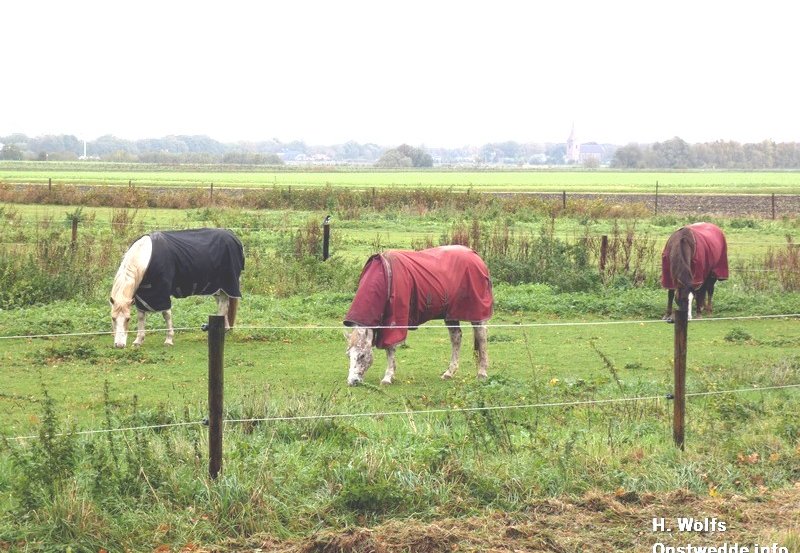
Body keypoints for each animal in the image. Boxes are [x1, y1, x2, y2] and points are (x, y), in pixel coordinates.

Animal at [110, 228, 245, 348]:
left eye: (128, 319)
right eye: (113, 318)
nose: (119, 345)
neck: (145, 258)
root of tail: (233, 237)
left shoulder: (162, 293)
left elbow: (166, 315)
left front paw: (169, 340)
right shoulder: (142, 295)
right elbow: (141, 316)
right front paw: (138, 340)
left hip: (226, 285)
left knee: (223, 305)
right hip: (217, 288)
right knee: (223, 304)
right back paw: (225, 328)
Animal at [343, 245, 493, 386]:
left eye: (362, 355)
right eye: (348, 355)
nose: (352, 381)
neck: (386, 277)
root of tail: (476, 256)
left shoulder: (394, 322)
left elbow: (390, 348)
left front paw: (388, 377)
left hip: (477, 313)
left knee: (481, 336)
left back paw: (482, 373)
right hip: (451, 314)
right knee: (456, 337)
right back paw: (449, 373)